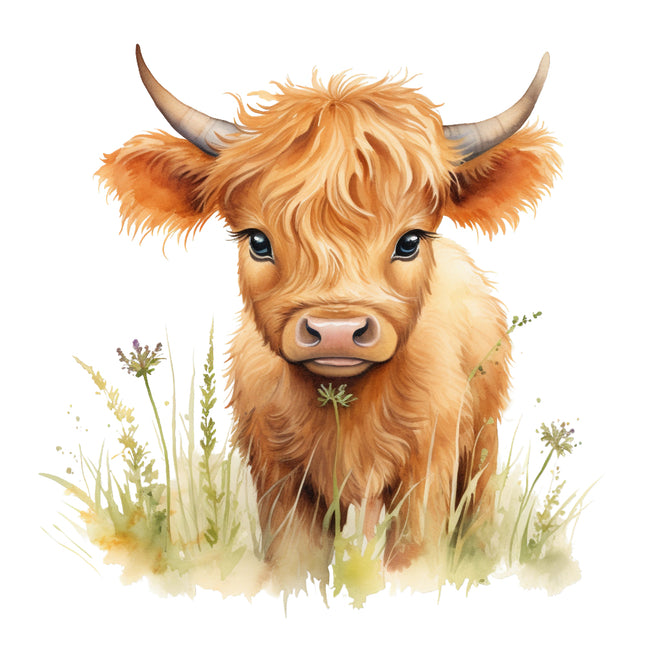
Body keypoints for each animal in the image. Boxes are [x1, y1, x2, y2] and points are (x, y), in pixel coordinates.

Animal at [97, 46, 561, 578]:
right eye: (258, 240)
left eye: (409, 240)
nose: (337, 331)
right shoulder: (280, 479)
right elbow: (293, 567)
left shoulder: (428, 468)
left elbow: (416, 561)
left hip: (481, 442)